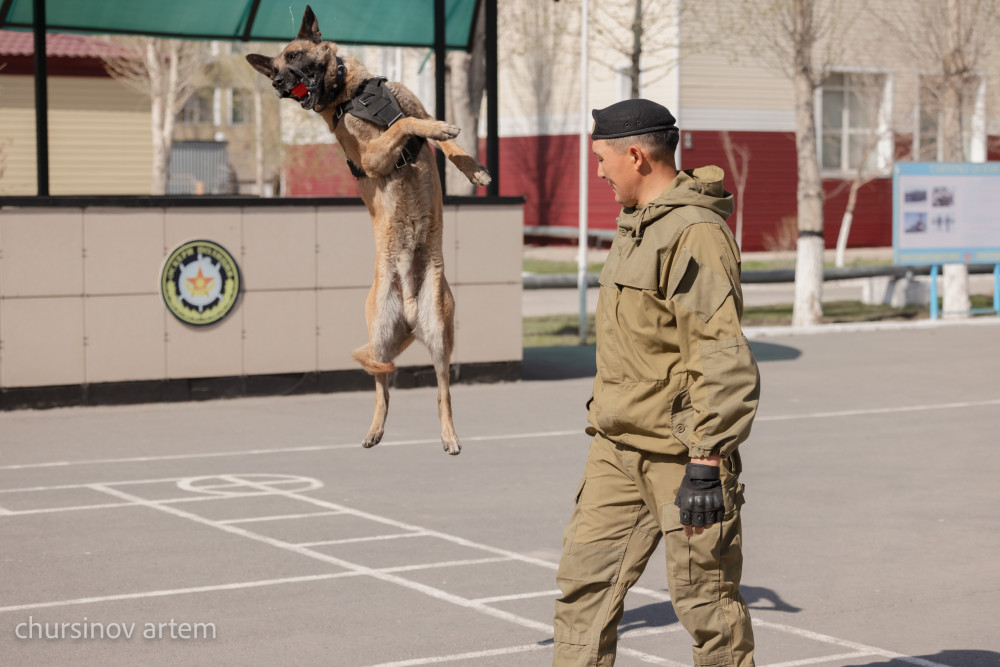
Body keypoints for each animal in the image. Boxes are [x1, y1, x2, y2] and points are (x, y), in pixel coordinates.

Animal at [246, 3, 488, 454]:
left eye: (294, 56)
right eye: (276, 67)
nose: (276, 82)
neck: (352, 95)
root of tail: (409, 307)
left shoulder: (418, 108)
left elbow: (442, 139)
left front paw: (473, 167)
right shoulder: (374, 155)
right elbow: (404, 126)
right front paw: (439, 132)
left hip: (439, 334)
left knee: (440, 390)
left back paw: (447, 434)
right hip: (380, 336)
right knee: (383, 387)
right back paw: (376, 430)